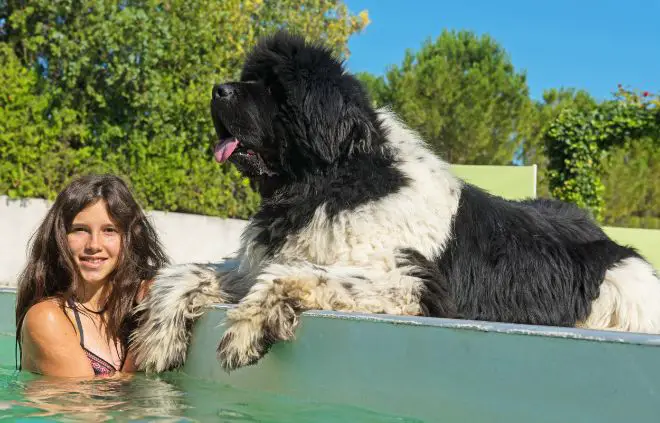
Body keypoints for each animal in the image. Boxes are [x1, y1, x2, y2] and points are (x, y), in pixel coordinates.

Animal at [129, 30, 660, 374]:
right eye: (249, 78)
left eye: (275, 89)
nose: (217, 89)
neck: (333, 182)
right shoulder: (259, 258)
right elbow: (188, 272)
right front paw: (158, 336)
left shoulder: (410, 282)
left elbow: (289, 273)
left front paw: (246, 326)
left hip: (624, 300)